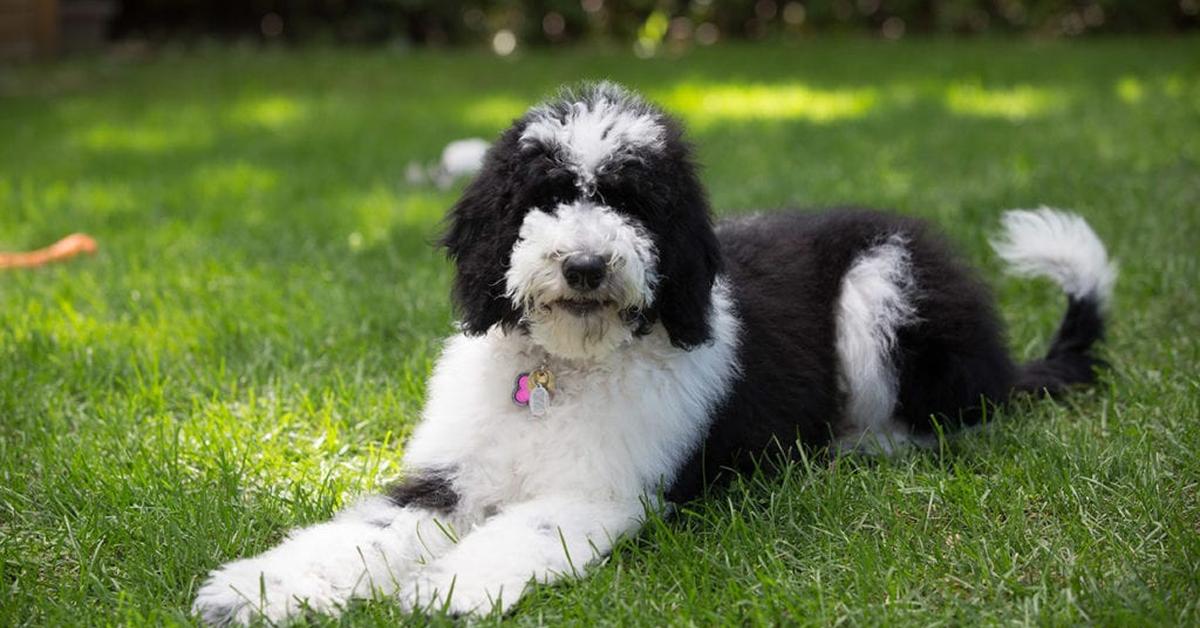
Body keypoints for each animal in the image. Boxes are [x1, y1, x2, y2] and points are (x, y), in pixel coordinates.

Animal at [189, 82, 1113, 624]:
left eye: (634, 203)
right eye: (545, 195)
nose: (586, 264)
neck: (564, 371)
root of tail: (1003, 355)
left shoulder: (605, 490)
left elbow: (528, 527)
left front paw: (450, 584)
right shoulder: (448, 476)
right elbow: (368, 531)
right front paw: (259, 588)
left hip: (884, 286)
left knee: (951, 417)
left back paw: (849, 448)